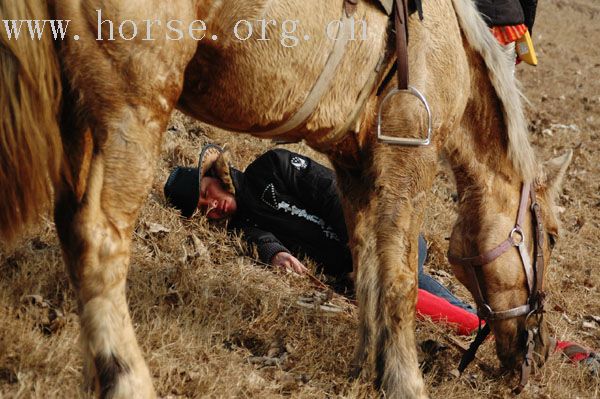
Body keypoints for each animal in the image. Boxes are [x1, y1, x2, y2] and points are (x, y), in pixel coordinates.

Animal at [0, 0, 572, 398]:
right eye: (550, 235)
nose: (539, 350)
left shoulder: (355, 173)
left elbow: (368, 272)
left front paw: (365, 369)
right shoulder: (406, 164)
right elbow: (399, 283)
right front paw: (404, 381)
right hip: (131, 103)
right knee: (97, 240)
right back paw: (128, 378)